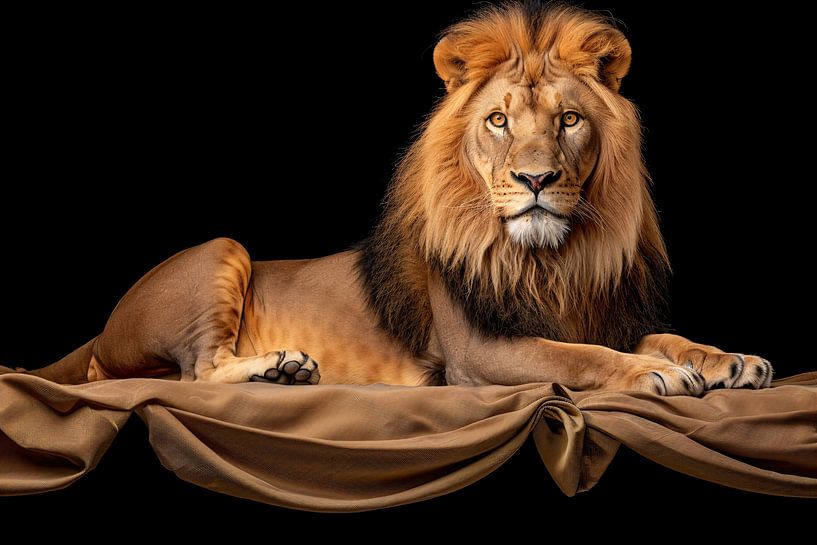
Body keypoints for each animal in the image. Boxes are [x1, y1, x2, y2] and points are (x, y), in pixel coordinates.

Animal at [10, 3, 772, 395]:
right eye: (499, 120)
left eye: (569, 120)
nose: (535, 181)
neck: (551, 260)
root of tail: (101, 330)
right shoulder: (476, 354)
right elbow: (578, 358)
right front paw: (657, 372)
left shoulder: (601, 314)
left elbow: (659, 335)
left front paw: (726, 358)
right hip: (223, 249)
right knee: (195, 373)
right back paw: (279, 366)